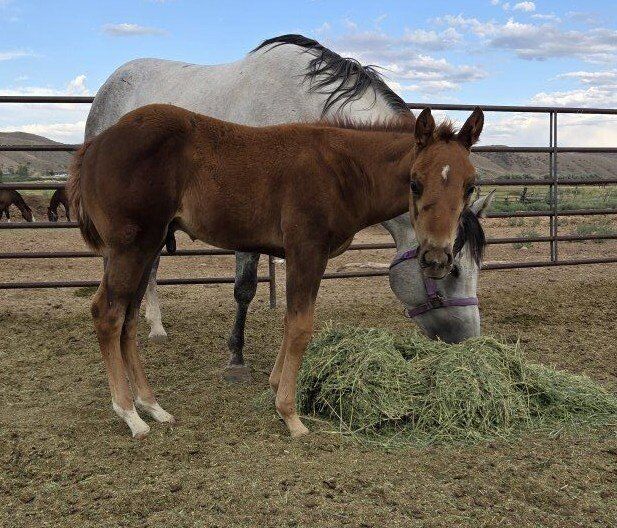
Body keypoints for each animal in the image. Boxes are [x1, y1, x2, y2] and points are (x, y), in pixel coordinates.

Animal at [68, 102, 485, 438]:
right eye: (415, 183)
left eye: (470, 186)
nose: (436, 258)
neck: (342, 170)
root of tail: (95, 145)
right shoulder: (307, 250)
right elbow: (301, 326)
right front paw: (290, 415)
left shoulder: (300, 255)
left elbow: (289, 320)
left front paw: (273, 387)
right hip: (131, 248)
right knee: (107, 313)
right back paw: (130, 415)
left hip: (148, 247)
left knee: (129, 320)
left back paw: (152, 406)